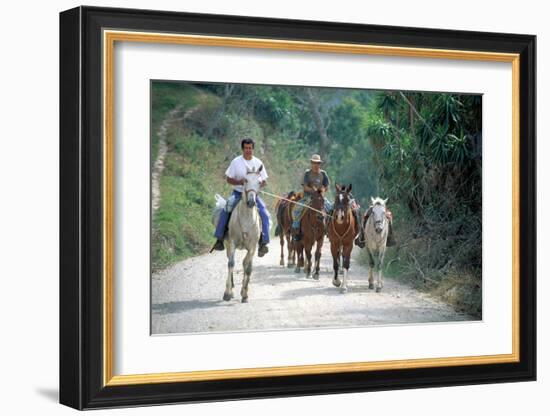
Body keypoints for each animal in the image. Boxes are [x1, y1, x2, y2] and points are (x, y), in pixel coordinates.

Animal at [222, 165, 264, 302]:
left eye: (259, 182)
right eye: (245, 180)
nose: (251, 202)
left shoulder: (252, 246)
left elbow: (248, 268)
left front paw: (245, 294)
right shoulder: (232, 242)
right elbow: (231, 263)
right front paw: (227, 293)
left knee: (246, 263)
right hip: (227, 244)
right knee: (231, 260)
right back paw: (232, 288)